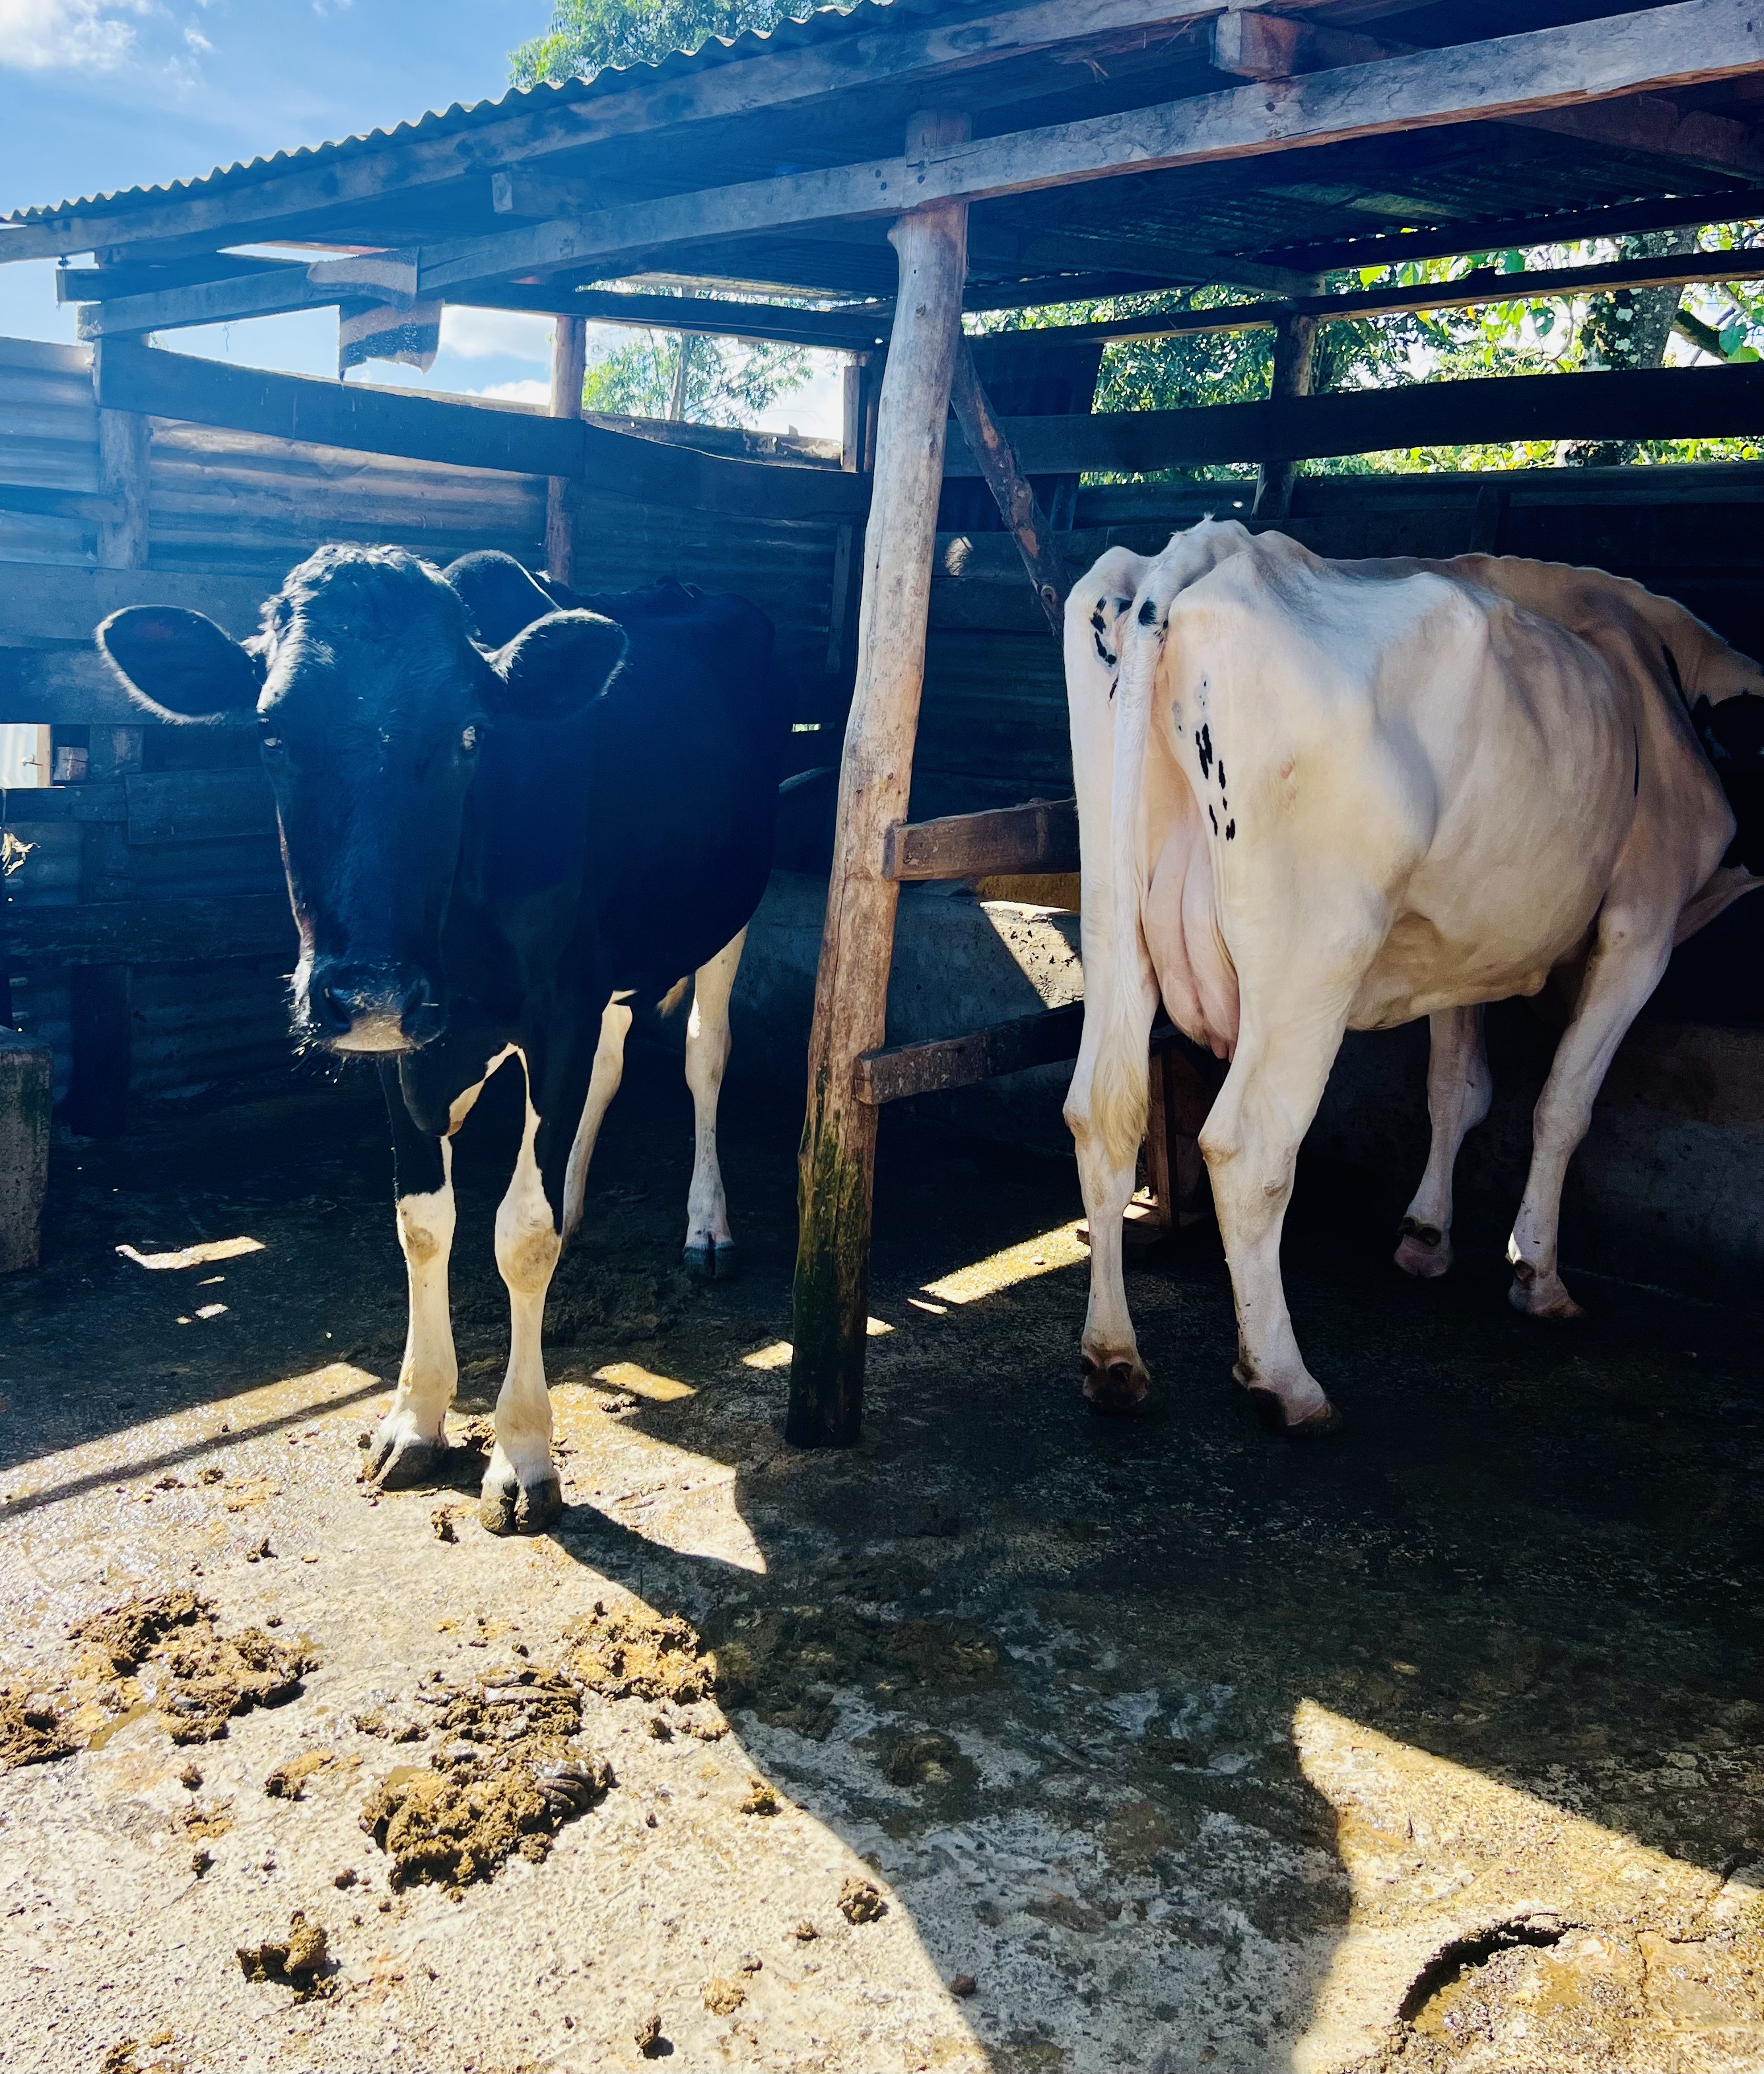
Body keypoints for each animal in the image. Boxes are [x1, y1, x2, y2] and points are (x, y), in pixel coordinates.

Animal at [97, 544, 782, 1532]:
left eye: (469, 732)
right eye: (269, 733)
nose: (370, 986)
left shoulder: (559, 1006)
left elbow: (520, 1233)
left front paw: (523, 1455)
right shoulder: (409, 1038)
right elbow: (424, 1223)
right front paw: (414, 1419)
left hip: (726, 912)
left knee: (703, 1054)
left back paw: (707, 1226)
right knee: (613, 1066)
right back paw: (583, 1198)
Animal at [1063, 520, 1763, 1435]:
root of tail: (1211, 549)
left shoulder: (1453, 944)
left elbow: (1454, 1088)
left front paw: (1426, 1237)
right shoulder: (1640, 927)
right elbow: (1561, 1106)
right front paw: (1536, 1274)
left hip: (1114, 926)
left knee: (1100, 1115)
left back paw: (1111, 1360)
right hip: (1313, 952)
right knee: (1248, 1148)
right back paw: (1284, 1381)